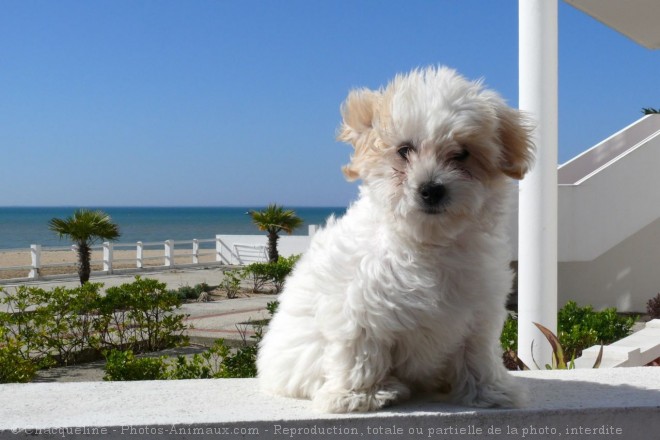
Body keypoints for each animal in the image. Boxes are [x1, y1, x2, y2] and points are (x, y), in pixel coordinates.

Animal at [255, 65, 532, 412]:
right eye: (404, 150)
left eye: (462, 154)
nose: (431, 189)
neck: (426, 242)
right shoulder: (359, 304)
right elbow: (361, 349)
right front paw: (359, 394)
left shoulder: (479, 310)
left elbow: (476, 352)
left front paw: (488, 391)